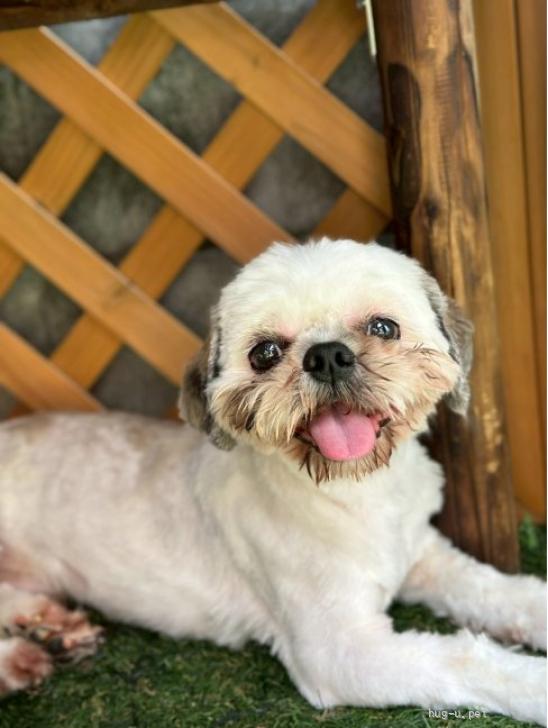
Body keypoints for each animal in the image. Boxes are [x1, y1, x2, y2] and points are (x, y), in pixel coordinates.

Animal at [0, 239, 545, 723]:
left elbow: (504, 592)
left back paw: (50, 629)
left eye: (383, 326)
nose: (327, 355)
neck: (359, 495)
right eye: (264, 353)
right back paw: (19, 658)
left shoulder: (426, 559)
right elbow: (467, 659)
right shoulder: (342, 652)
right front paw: (533, 687)